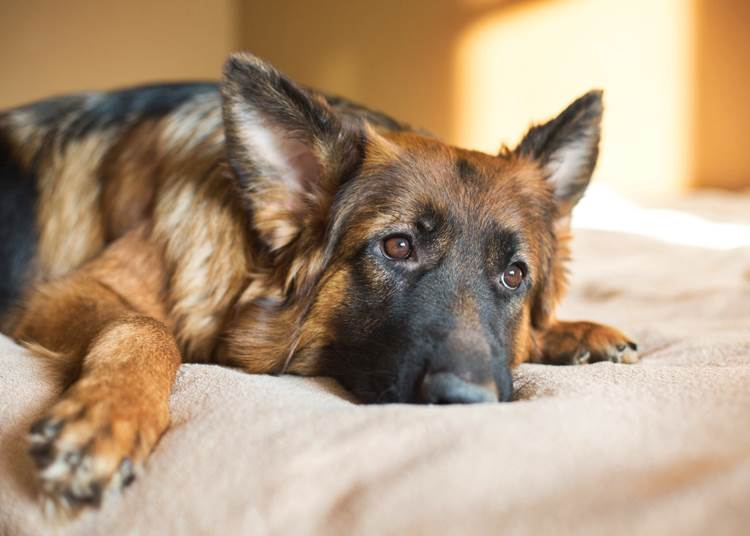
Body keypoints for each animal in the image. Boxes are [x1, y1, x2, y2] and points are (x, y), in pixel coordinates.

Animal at [0, 53, 640, 516]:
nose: (468, 405)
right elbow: (145, 326)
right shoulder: (65, 295)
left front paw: (576, 331)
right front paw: (111, 414)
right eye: (397, 246)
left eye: (513, 275)